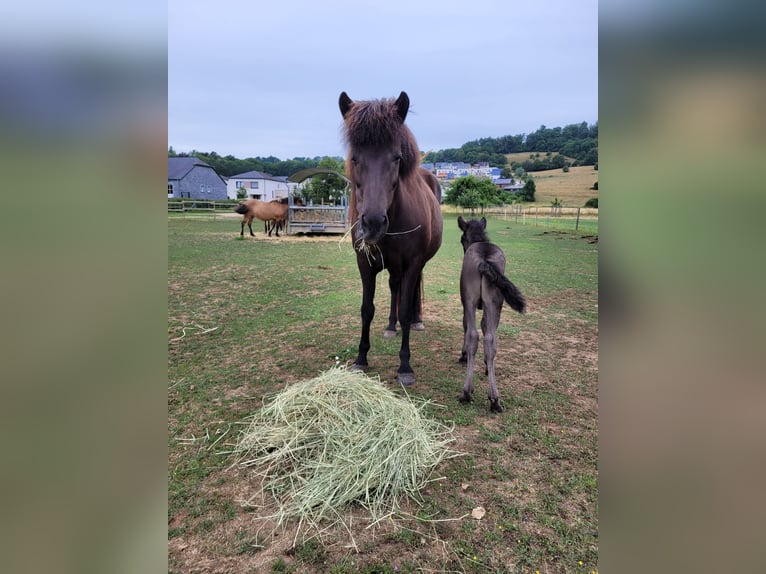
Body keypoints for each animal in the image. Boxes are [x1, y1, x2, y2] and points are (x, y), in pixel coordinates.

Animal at [340, 91, 444, 388]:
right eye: (355, 159)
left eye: (397, 157)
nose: (373, 223)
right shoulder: (364, 263)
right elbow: (367, 309)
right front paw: (361, 359)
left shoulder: (412, 263)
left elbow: (406, 311)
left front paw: (405, 366)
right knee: (394, 288)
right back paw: (390, 326)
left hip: (417, 265)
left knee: (413, 290)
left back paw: (417, 321)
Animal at [456, 217, 528, 414]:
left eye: (462, 239)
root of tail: (484, 259)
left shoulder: (467, 303)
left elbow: (468, 326)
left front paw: (464, 355)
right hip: (494, 303)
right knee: (490, 339)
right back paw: (494, 398)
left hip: (471, 301)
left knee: (474, 335)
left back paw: (468, 392)